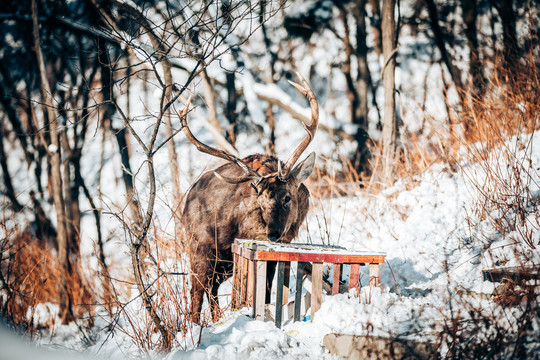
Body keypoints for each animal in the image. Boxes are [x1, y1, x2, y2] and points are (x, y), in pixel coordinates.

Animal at [179, 73, 318, 324]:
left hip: (222, 263)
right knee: (196, 291)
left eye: (288, 197)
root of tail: (186, 201)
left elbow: (268, 290)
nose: (273, 233)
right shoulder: (252, 239)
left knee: (211, 289)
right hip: (198, 249)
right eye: (260, 204)